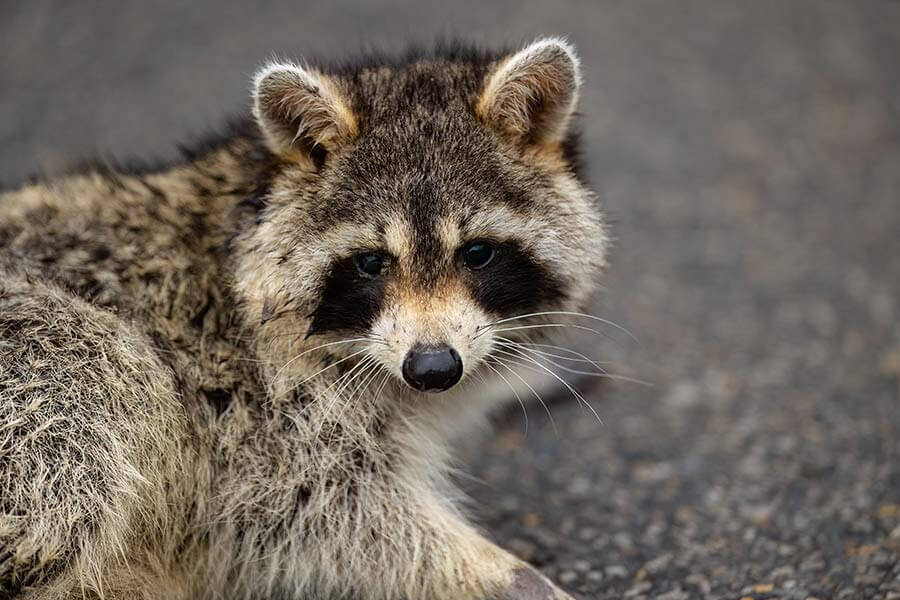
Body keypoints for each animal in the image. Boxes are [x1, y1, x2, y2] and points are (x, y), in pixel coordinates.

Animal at [0, 38, 607, 600]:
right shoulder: (251, 410)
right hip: (45, 360)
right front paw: (505, 574)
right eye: (371, 262)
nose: (433, 368)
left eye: (477, 253)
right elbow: (313, 516)